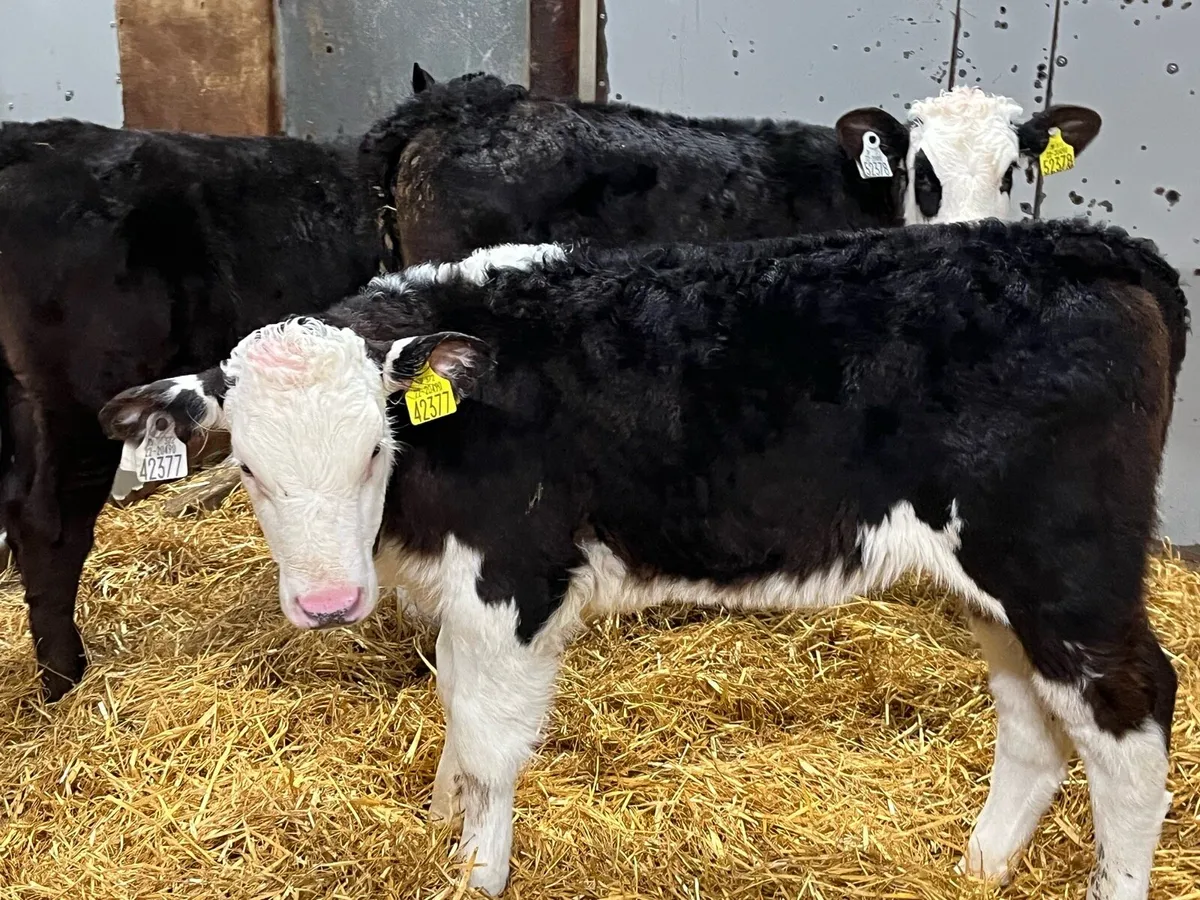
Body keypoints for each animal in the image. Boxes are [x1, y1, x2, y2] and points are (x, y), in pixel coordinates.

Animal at [102, 218, 1188, 900]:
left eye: (376, 447)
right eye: (247, 467)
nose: (328, 602)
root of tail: (1095, 245)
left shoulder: (514, 581)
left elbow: (490, 741)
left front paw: (475, 872)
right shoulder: (461, 592)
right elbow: (451, 704)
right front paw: (440, 819)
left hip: (1067, 568)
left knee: (1132, 714)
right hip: (1001, 587)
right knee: (1033, 724)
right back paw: (980, 867)